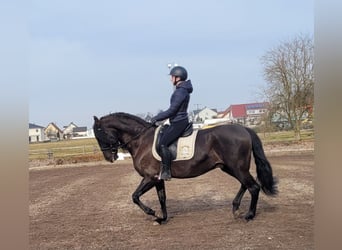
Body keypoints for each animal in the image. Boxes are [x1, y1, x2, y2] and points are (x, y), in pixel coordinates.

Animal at [93, 112, 278, 224]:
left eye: (100, 133)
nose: (109, 158)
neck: (142, 140)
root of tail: (243, 129)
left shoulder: (149, 178)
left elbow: (135, 196)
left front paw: (152, 212)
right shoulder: (158, 179)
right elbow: (162, 198)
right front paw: (162, 218)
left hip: (237, 167)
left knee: (253, 187)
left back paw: (249, 215)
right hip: (230, 167)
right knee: (246, 184)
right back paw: (236, 209)